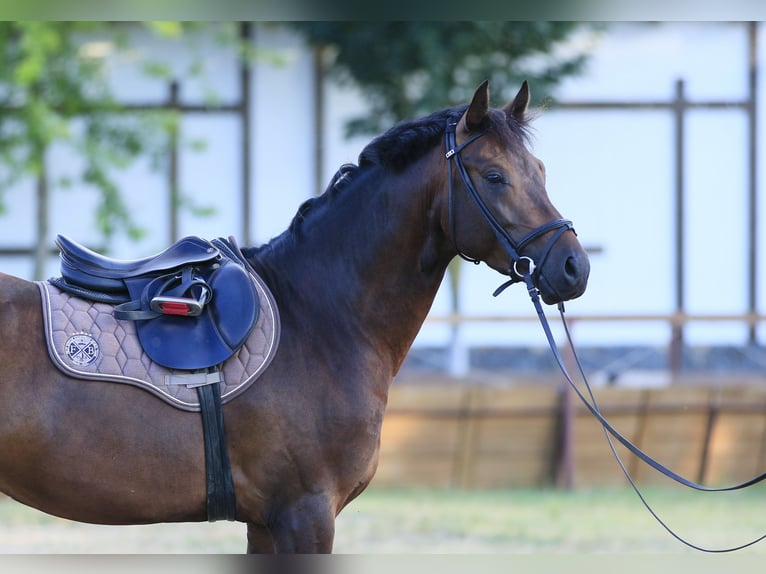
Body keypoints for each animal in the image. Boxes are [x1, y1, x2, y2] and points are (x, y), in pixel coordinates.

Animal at [0, 81, 592, 552]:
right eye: (494, 176)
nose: (573, 267)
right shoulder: (304, 515)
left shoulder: (267, 523)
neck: (317, 320)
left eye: (538, 171)